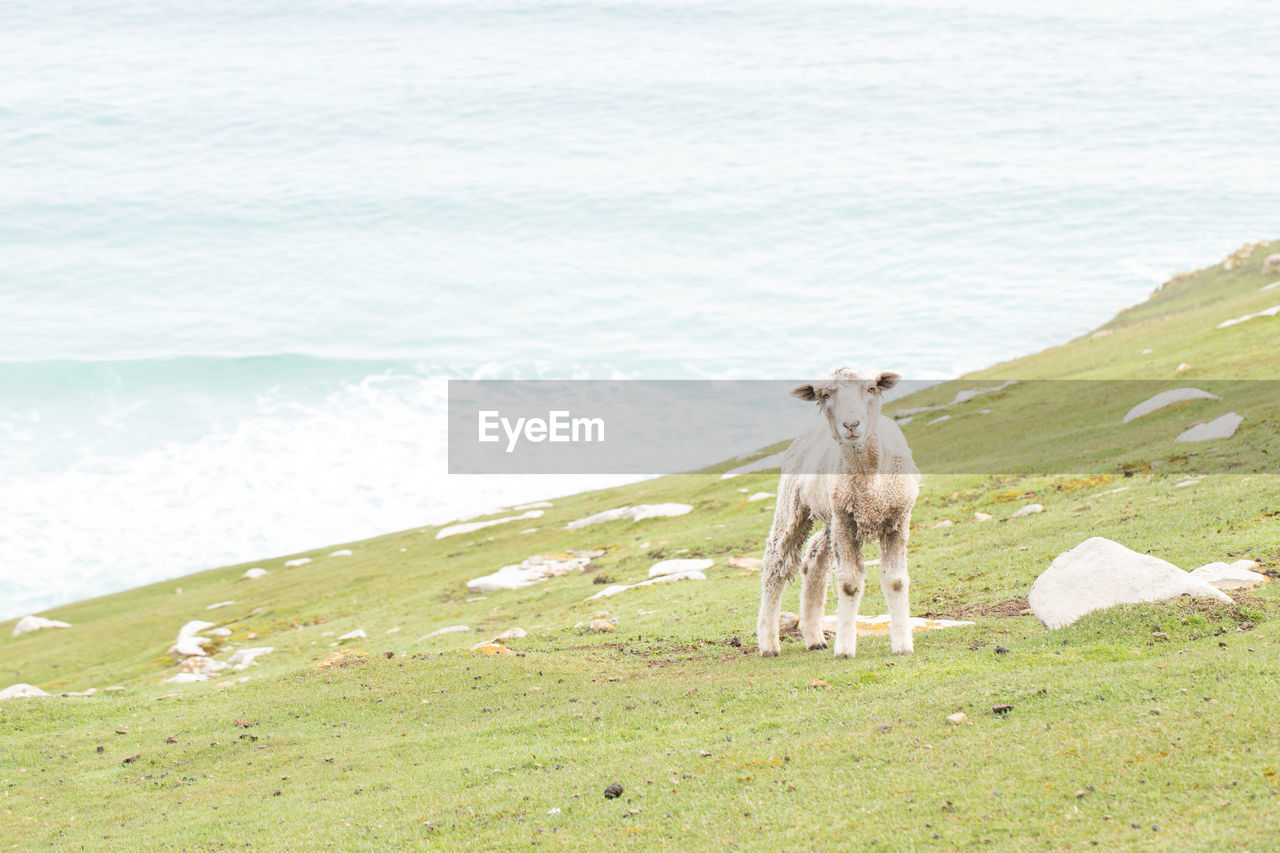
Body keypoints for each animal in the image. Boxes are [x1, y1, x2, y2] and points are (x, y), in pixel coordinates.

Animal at [747, 366, 921, 655]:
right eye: (825, 395)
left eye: (871, 388)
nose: (851, 425)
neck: (868, 480)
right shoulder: (846, 521)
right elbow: (850, 584)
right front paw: (845, 649)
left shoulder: (897, 519)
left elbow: (896, 580)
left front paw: (902, 645)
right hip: (796, 505)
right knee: (775, 563)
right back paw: (769, 643)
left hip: (832, 518)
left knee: (815, 558)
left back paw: (814, 637)